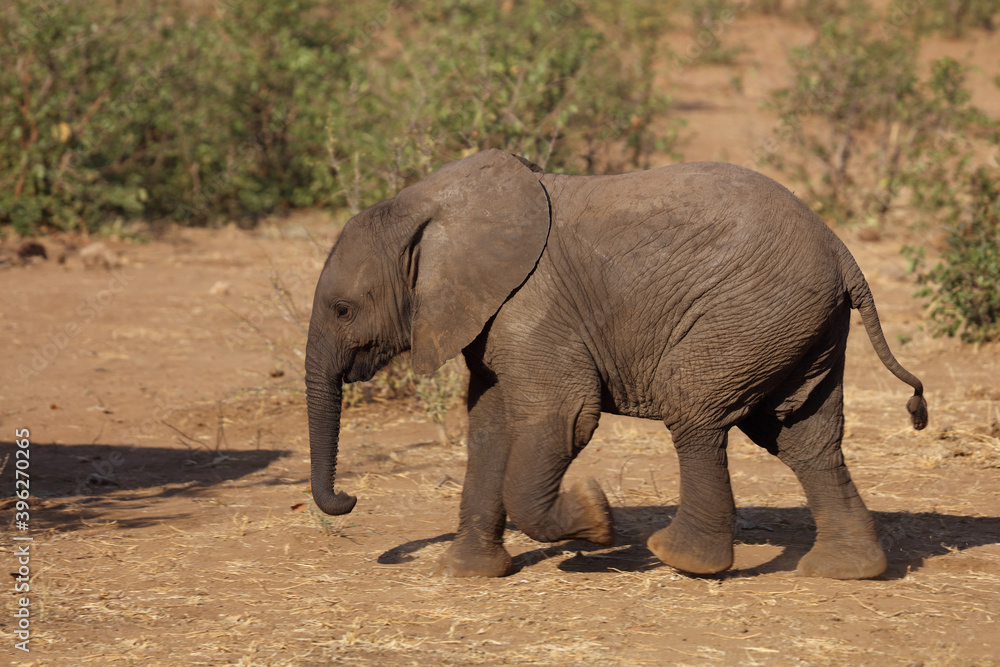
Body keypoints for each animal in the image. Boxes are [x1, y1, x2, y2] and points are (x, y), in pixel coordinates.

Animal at [306, 150, 928, 580]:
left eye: (343, 309)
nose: (349, 500)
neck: (430, 207)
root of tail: (842, 252)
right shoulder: (494, 315)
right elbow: (488, 426)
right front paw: (467, 575)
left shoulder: (535, 305)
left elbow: (563, 417)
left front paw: (596, 518)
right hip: (802, 328)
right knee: (806, 437)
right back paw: (846, 571)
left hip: (754, 314)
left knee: (697, 413)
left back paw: (681, 559)